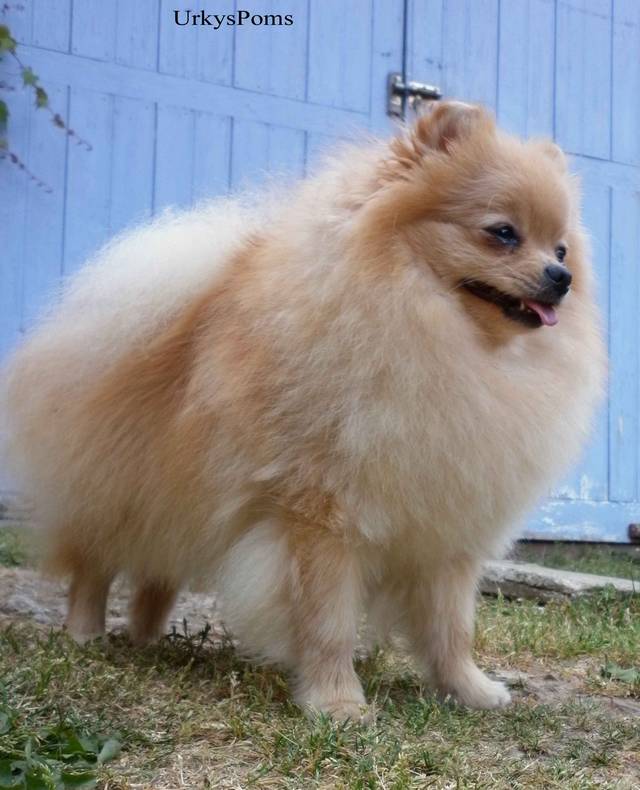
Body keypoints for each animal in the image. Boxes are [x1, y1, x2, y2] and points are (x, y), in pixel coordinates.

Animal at [1, 102, 604, 720]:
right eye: (502, 233)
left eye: (560, 248)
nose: (562, 278)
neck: (450, 343)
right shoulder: (322, 518)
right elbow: (327, 621)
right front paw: (337, 703)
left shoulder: (448, 529)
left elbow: (451, 628)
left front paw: (469, 690)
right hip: (116, 493)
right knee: (94, 566)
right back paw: (85, 632)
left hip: (177, 500)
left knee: (158, 573)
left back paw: (146, 637)